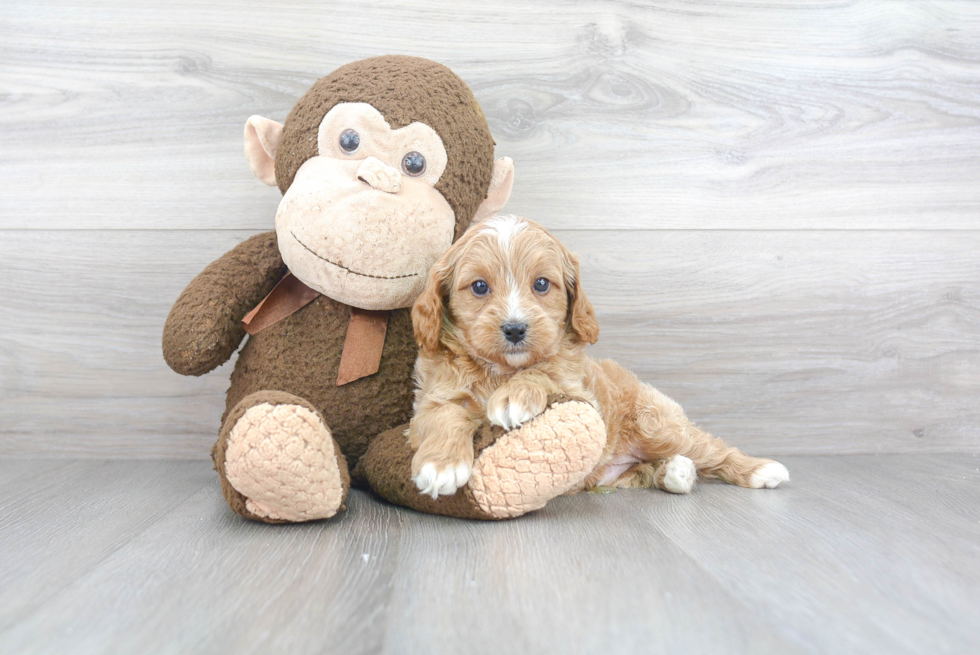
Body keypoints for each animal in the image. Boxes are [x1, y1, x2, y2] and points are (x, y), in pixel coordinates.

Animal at [406, 215, 788, 498]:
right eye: (479, 287)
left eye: (541, 284)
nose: (515, 329)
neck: (500, 370)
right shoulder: (430, 399)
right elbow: (446, 415)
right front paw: (441, 465)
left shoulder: (582, 397)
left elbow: (544, 370)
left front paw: (515, 396)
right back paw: (676, 471)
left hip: (656, 425)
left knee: (710, 448)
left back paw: (759, 469)